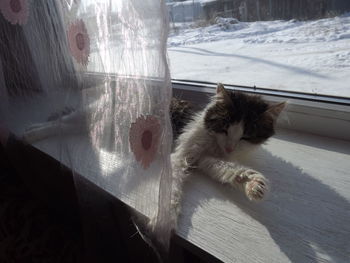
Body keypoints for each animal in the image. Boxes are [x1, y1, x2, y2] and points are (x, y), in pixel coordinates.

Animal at [168, 84, 286, 227]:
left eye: (245, 138)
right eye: (224, 130)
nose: (229, 148)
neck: (215, 145)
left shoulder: (207, 159)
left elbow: (232, 169)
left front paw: (253, 183)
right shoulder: (181, 155)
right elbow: (172, 183)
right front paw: (166, 217)